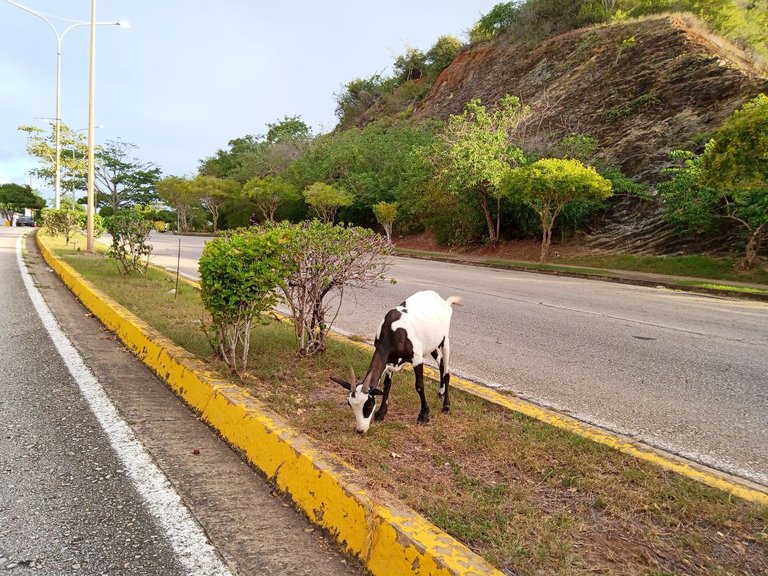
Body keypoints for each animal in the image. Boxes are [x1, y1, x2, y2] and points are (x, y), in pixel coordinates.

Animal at [330, 290, 462, 434]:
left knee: (446, 371)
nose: (360, 430)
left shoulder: (417, 358)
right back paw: (440, 393)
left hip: (445, 340)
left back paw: (446, 405)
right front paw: (381, 413)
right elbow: (387, 385)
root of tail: (443, 301)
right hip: (432, 345)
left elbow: (419, 386)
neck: (393, 333)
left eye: (369, 405)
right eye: (350, 404)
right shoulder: (389, 361)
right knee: (441, 364)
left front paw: (424, 415)